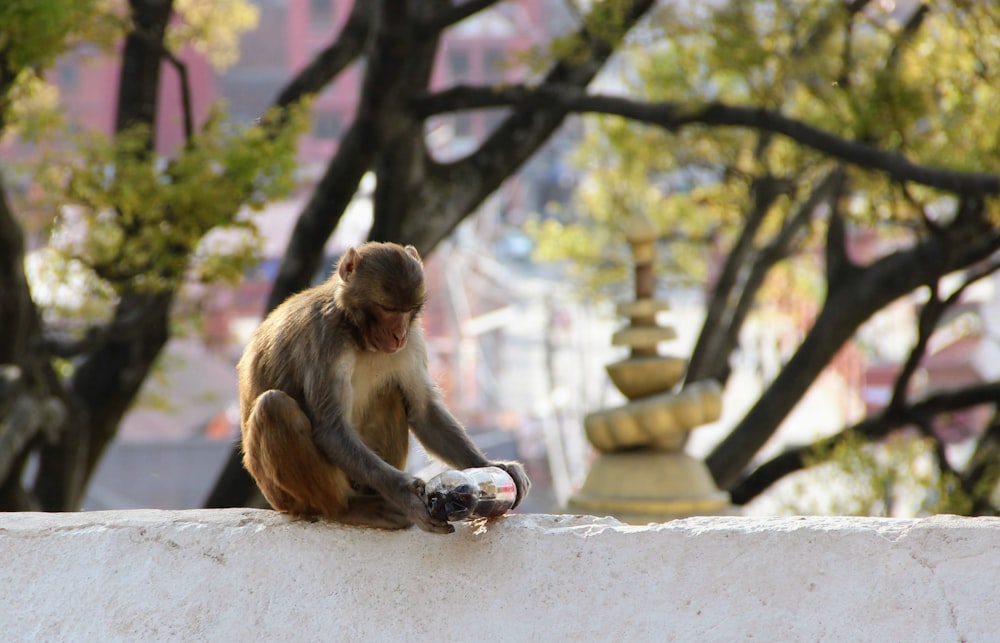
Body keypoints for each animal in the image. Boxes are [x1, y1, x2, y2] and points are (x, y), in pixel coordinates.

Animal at [238, 242, 532, 532]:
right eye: (389, 308)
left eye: (408, 309)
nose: (398, 334)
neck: (357, 334)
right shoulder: (322, 338)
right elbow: (331, 428)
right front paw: (405, 494)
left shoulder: (413, 340)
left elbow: (424, 412)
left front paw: (492, 466)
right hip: (283, 496)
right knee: (274, 405)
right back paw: (348, 508)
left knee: (389, 394)